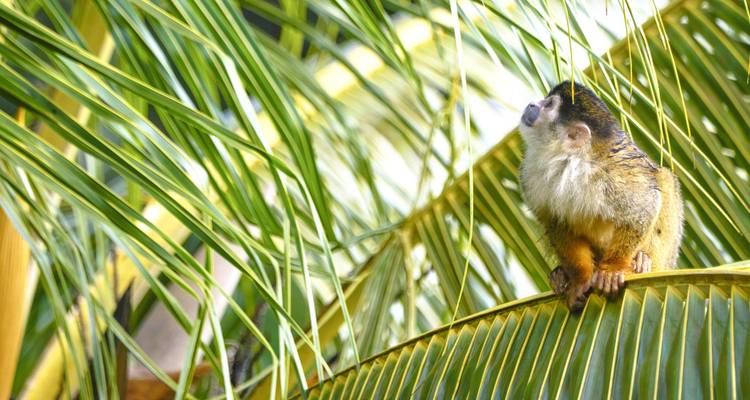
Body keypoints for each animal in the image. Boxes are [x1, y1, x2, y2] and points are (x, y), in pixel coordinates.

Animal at [518, 81, 683, 311]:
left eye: (549, 105)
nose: (532, 104)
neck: (567, 159)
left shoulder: (612, 173)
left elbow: (643, 205)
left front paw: (612, 269)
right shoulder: (530, 174)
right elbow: (556, 222)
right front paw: (580, 278)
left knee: (663, 178)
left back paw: (643, 262)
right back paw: (560, 276)